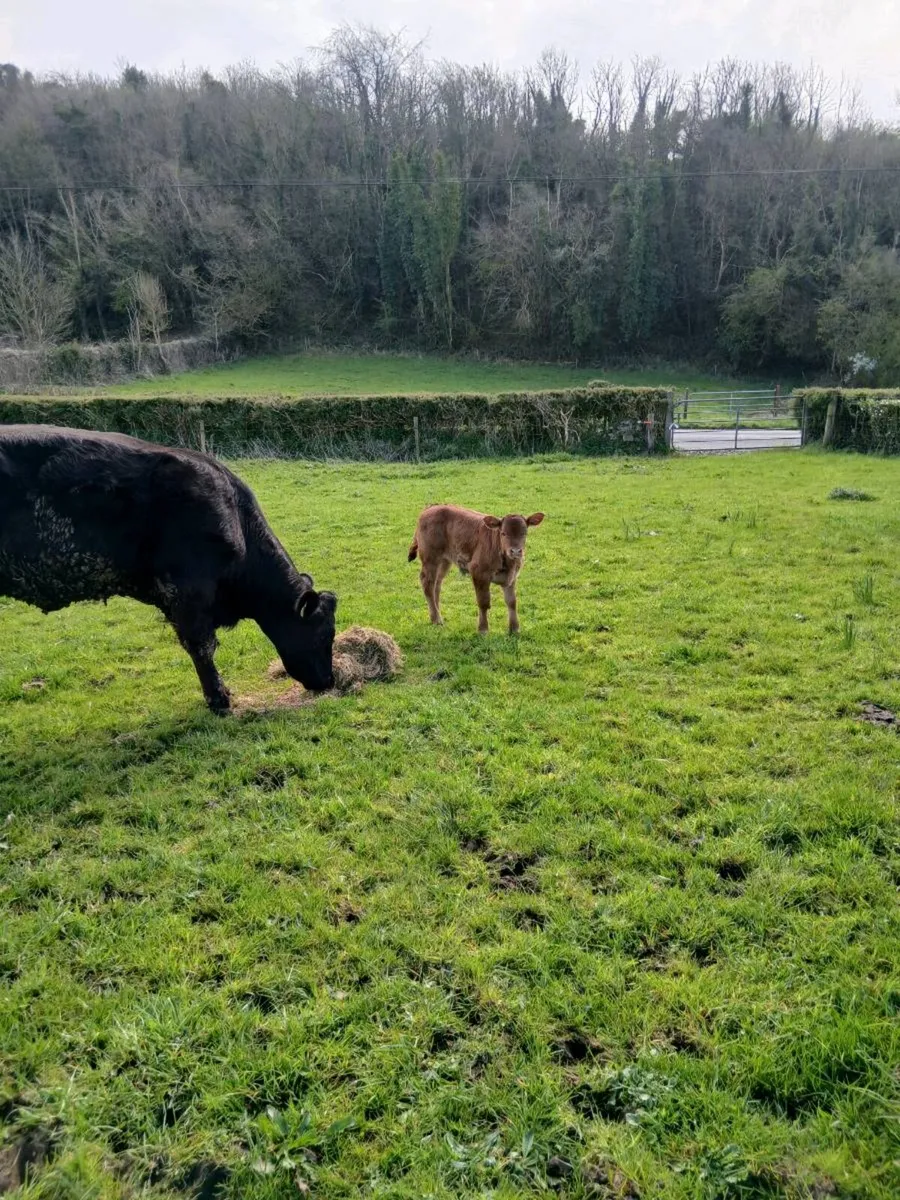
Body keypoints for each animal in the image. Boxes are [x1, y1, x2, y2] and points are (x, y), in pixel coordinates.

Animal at [408, 504, 545, 634]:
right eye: (503, 533)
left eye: (524, 533)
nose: (515, 551)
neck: (507, 563)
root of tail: (431, 507)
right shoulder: (479, 573)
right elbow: (483, 602)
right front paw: (483, 629)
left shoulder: (511, 577)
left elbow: (512, 602)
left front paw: (514, 628)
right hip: (430, 558)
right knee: (427, 583)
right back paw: (437, 619)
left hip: (444, 560)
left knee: (437, 584)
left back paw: (435, 615)